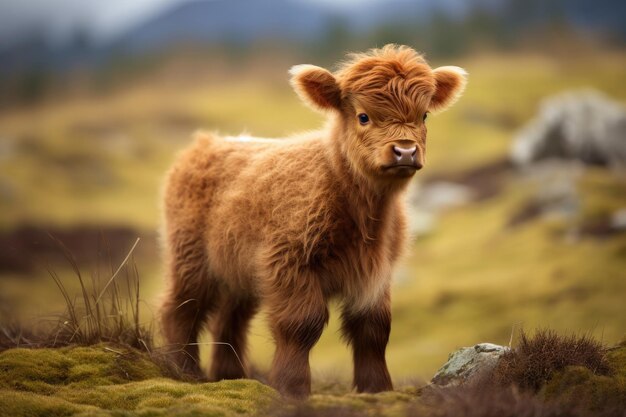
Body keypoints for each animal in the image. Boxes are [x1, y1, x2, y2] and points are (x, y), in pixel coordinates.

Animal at [158, 44, 466, 398]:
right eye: (363, 116)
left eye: (424, 115)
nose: (405, 151)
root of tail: (208, 143)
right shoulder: (290, 263)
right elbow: (301, 325)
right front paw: (293, 389)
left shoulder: (376, 272)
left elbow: (373, 329)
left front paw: (376, 389)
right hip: (190, 258)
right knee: (180, 309)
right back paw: (183, 370)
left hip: (238, 269)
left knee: (229, 320)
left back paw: (229, 376)